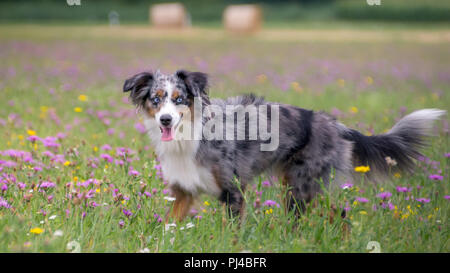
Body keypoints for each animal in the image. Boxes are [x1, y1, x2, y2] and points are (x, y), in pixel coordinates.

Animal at [123, 69, 446, 222]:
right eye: (156, 99)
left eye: (180, 99)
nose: (165, 119)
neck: (188, 136)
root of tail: (334, 124)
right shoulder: (183, 193)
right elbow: (168, 226)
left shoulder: (233, 191)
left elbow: (232, 233)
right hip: (295, 187)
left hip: (302, 188)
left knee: (335, 215)